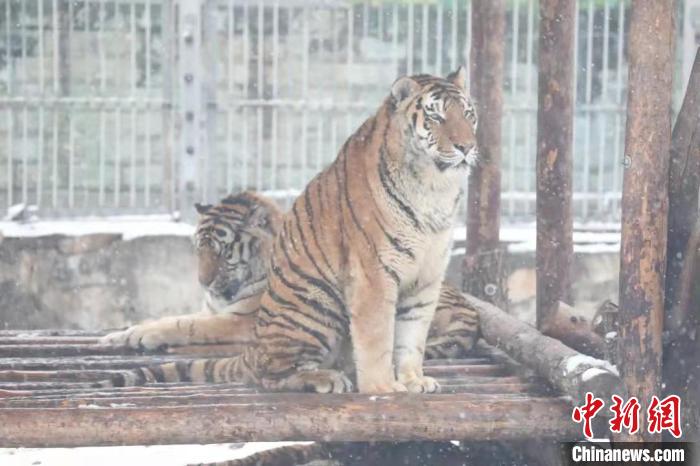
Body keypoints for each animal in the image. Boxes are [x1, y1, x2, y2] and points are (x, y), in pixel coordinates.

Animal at [104, 67, 479, 394]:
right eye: (436, 117)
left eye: (468, 115)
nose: (466, 147)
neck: (434, 187)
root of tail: (254, 352)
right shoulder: (373, 276)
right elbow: (377, 339)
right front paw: (383, 389)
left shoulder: (426, 278)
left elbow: (411, 339)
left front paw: (413, 381)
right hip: (314, 308)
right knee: (272, 376)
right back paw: (324, 378)